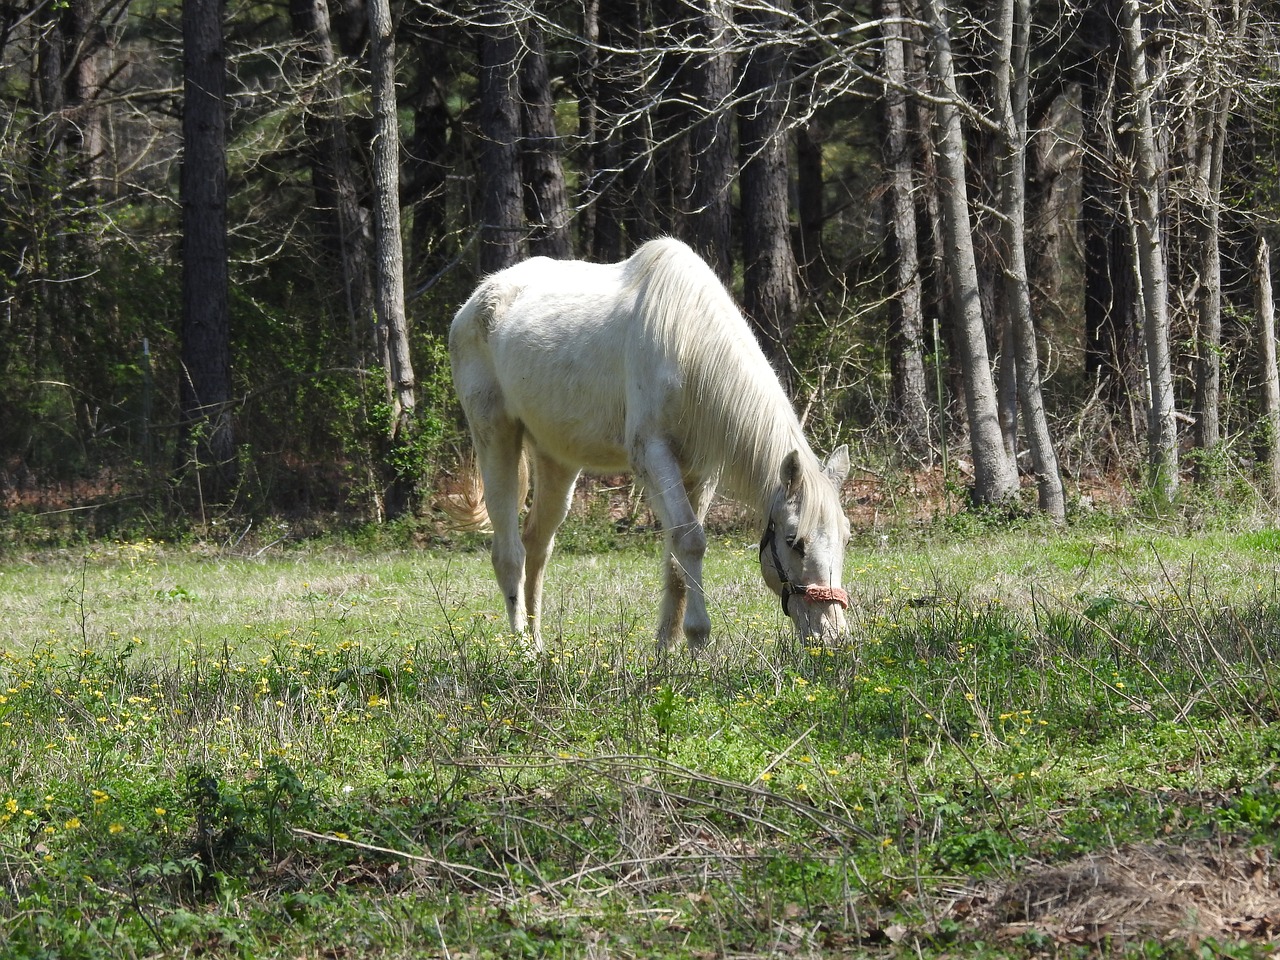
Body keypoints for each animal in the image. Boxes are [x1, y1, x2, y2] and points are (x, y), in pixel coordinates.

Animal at [450, 239, 849, 655]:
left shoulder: (701, 473)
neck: (689, 345)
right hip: (495, 436)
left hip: (556, 458)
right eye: (794, 542)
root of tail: (475, 302)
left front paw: (666, 648)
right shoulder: (654, 457)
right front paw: (698, 636)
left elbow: (676, 553)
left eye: (846, 538)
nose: (833, 636)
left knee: (537, 545)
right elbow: (690, 540)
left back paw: (540, 645)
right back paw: (522, 648)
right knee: (509, 553)